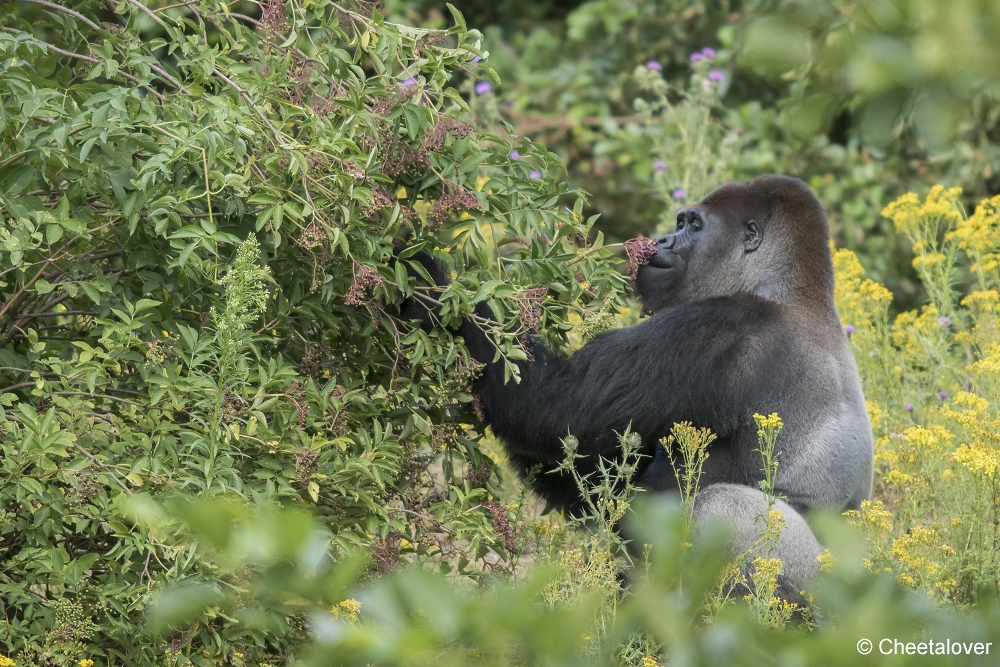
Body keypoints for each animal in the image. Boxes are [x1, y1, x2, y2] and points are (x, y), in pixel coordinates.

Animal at [400, 176, 876, 596]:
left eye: (693, 225)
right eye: (680, 222)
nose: (662, 240)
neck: (787, 289)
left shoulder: (718, 328)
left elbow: (556, 411)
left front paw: (420, 277)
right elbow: (592, 477)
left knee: (724, 509)